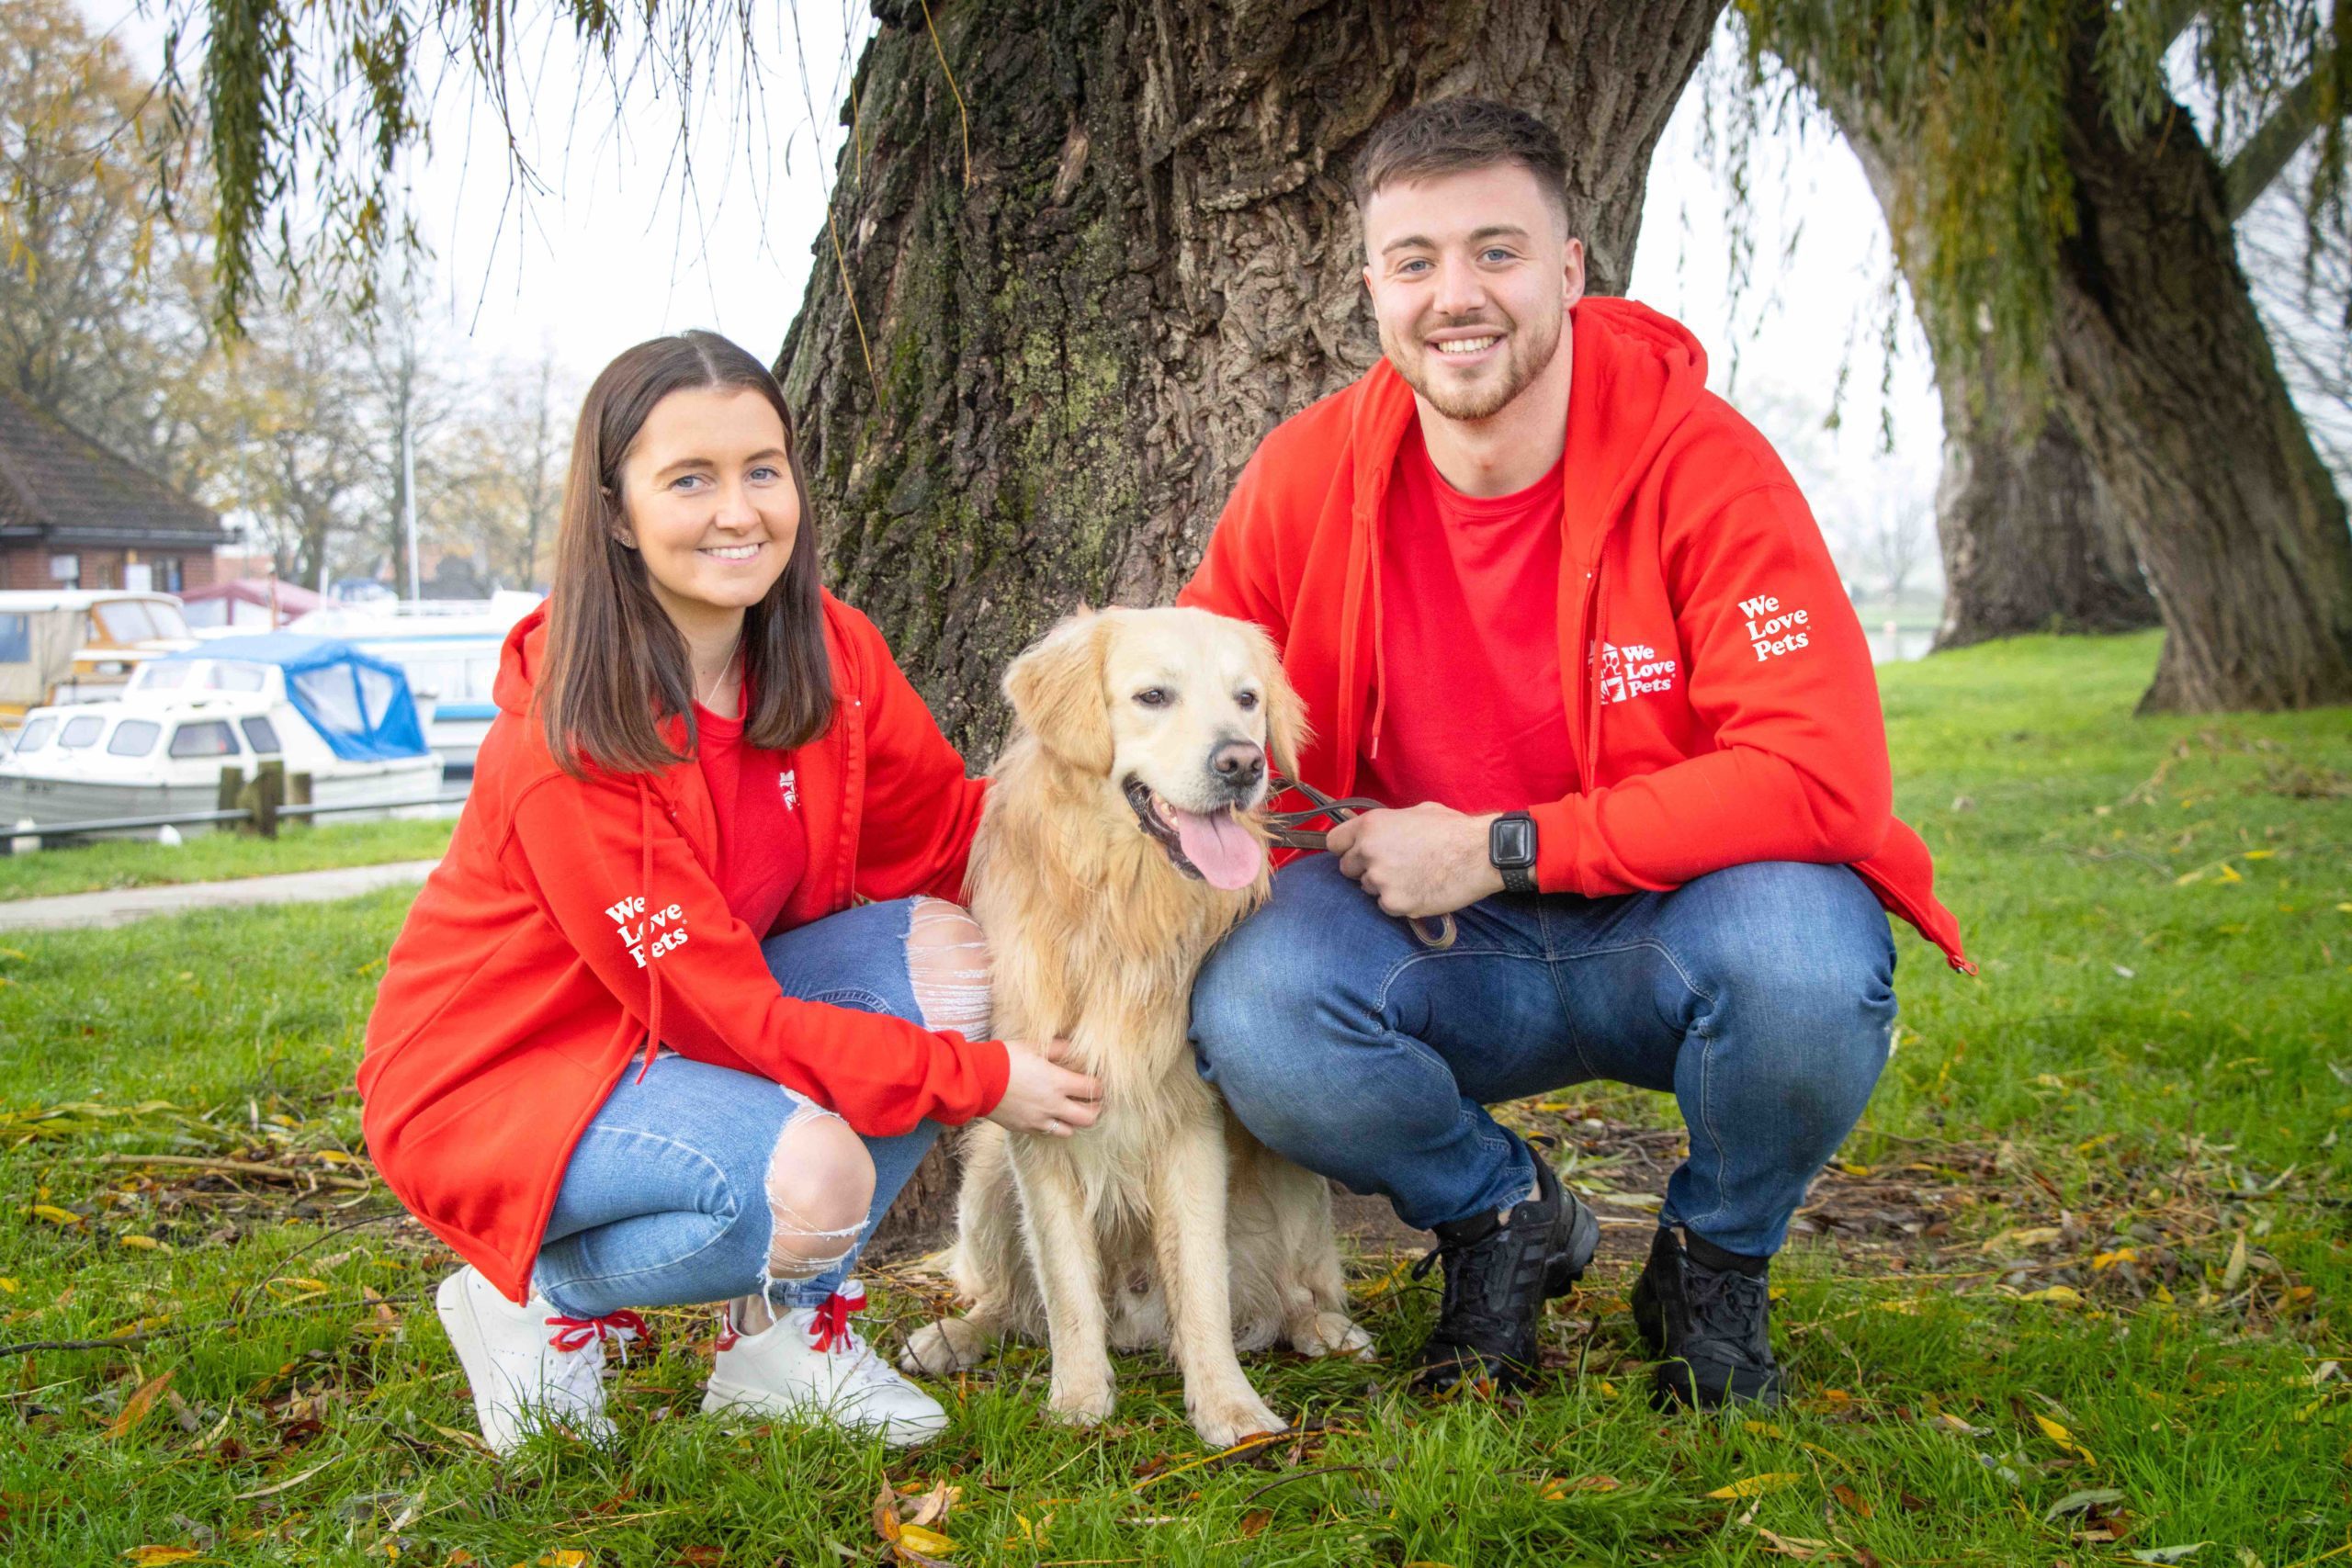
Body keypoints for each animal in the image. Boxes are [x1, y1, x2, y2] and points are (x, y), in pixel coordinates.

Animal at [898, 611, 1374, 1448]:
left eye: (1247, 699)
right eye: (1153, 696)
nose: (1243, 763)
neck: (1122, 904)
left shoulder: (1189, 1121)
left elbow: (1204, 1285)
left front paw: (1228, 1405)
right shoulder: (1039, 1122)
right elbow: (1065, 1286)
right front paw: (1080, 1398)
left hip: (1292, 1174)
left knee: (1293, 1288)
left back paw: (1318, 1325)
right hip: (985, 1171)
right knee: (1006, 1299)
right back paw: (954, 1335)